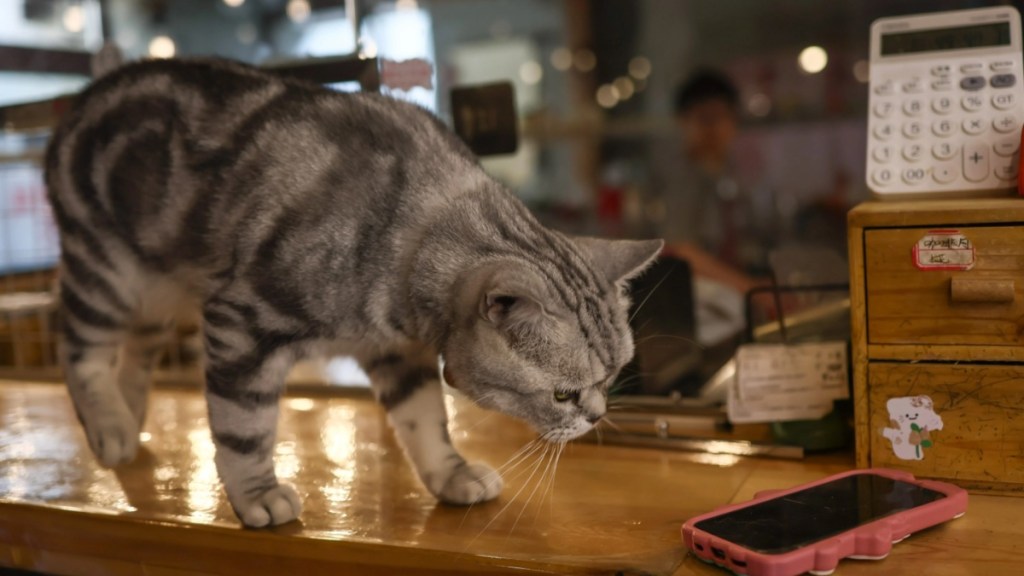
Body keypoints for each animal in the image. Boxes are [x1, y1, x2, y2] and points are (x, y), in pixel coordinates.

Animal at [44, 58, 659, 524]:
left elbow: (425, 421)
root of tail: (82, 97)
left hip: (158, 290)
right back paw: (108, 427)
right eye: (563, 394)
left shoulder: (397, 353)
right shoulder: (242, 324)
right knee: (79, 350)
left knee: (138, 351)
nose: (598, 416)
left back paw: (127, 417)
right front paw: (257, 495)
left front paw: (452, 475)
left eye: (610, 378)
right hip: (108, 273)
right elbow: (243, 429)